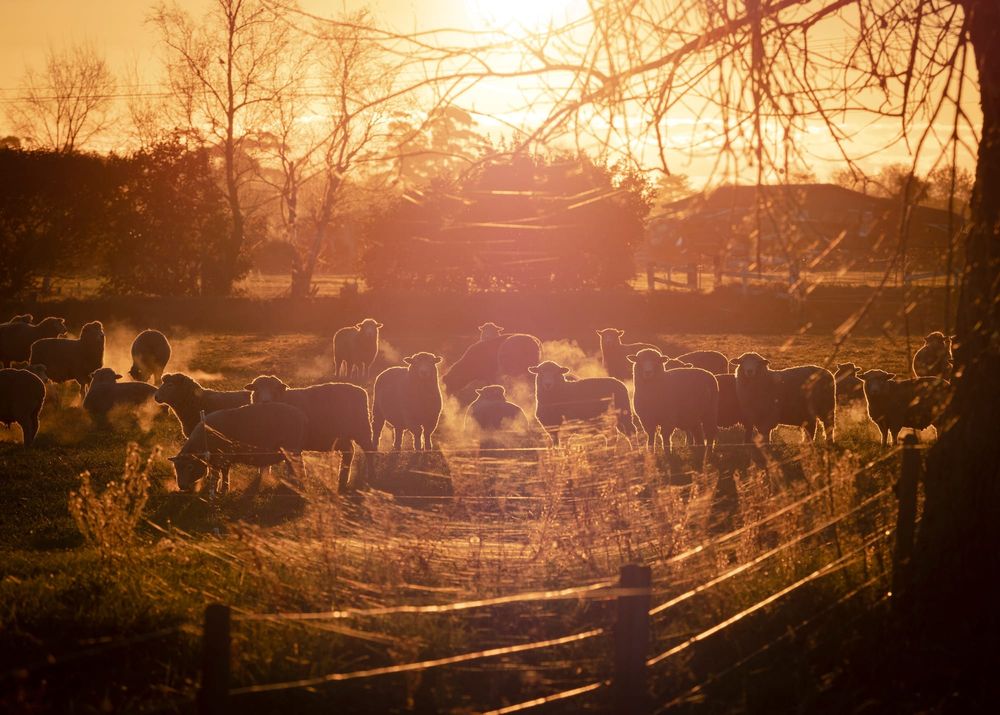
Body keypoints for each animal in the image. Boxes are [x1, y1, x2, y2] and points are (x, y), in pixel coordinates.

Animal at [169, 401, 307, 495]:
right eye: (175, 467)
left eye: (190, 467)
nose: (181, 486)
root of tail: (300, 415)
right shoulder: (218, 459)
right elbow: (220, 474)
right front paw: (220, 489)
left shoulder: (223, 457)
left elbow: (222, 474)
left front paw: (223, 490)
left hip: (291, 449)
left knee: (299, 468)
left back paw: (299, 487)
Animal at [244, 375, 374, 492]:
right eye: (256, 389)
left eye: (274, 390)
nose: (265, 402)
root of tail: (361, 389)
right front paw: (265, 477)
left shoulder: (293, 442)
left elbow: (294, 463)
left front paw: (298, 484)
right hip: (344, 436)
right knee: (349, 452)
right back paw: (342, 479)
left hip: (363, 430)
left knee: (369, 452)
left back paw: (369, 477)